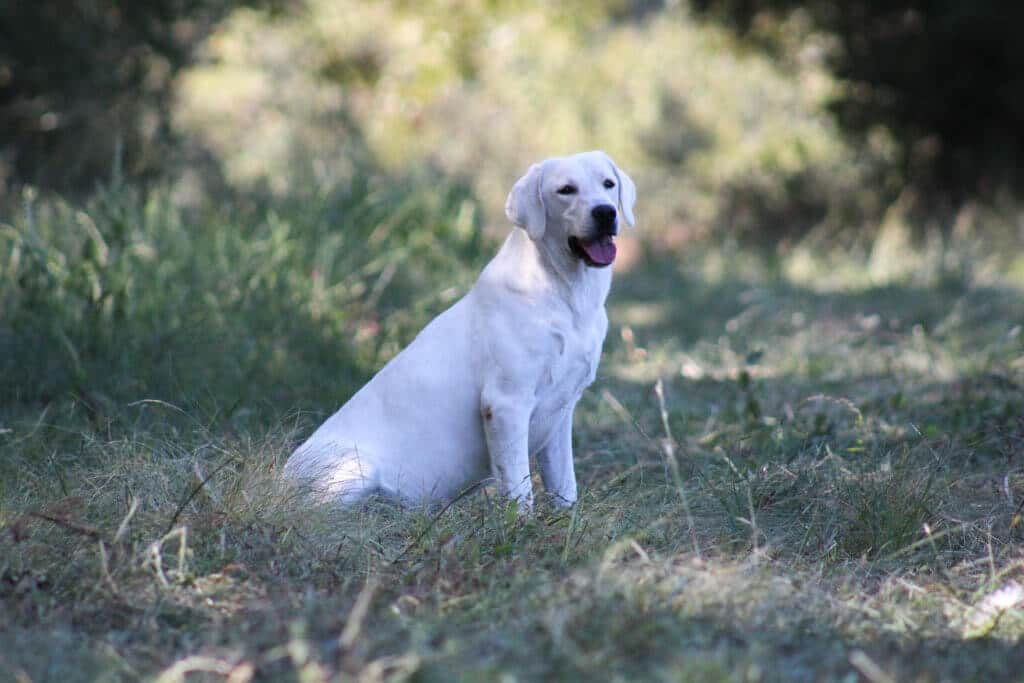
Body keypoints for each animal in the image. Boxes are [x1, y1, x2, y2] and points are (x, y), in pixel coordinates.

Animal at [284, 152, 634, 509]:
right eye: (566, 190)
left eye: (608, 184)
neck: (567, 295)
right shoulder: (505, 405)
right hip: (356, 473)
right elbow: (519, 491)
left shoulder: (561, 413)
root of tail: (280, 477)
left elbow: (565, 485)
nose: (605, 212)